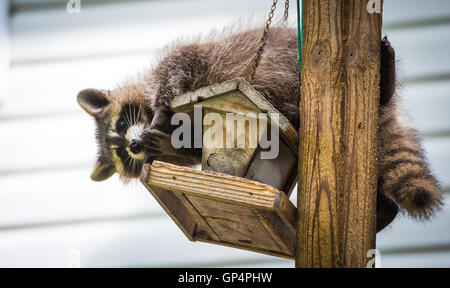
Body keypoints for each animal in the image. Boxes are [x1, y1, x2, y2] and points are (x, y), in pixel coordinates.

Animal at [78, 26, 442, 230]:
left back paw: (386, 82)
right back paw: (384, 210)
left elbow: (179, 66)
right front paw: (169, 145)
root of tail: (384, 112)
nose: (135, 145)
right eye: (123, 155)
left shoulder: (182, 65)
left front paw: (162, 110)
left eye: (122, 124)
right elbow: (192, 148)